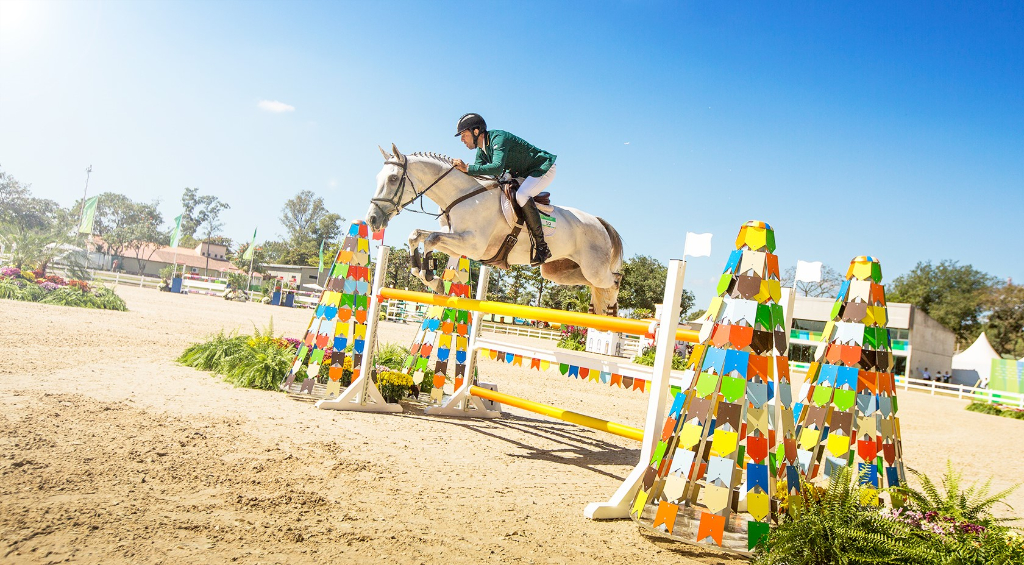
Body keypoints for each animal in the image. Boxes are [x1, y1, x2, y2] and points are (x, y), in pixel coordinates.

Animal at [368, 143, 622, 315]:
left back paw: (611, 311)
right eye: (379, 177)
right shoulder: (458, 243)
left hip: (594, 269)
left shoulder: (472, 245)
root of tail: (598, 221)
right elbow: (417, 236)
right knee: (593, 284)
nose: (372, 219)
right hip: (556, 271)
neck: (463, 195)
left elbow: (430, 239)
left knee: (613, 281)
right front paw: (426, 275)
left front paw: (431, 274)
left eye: (393, 179)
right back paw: (598, 310)